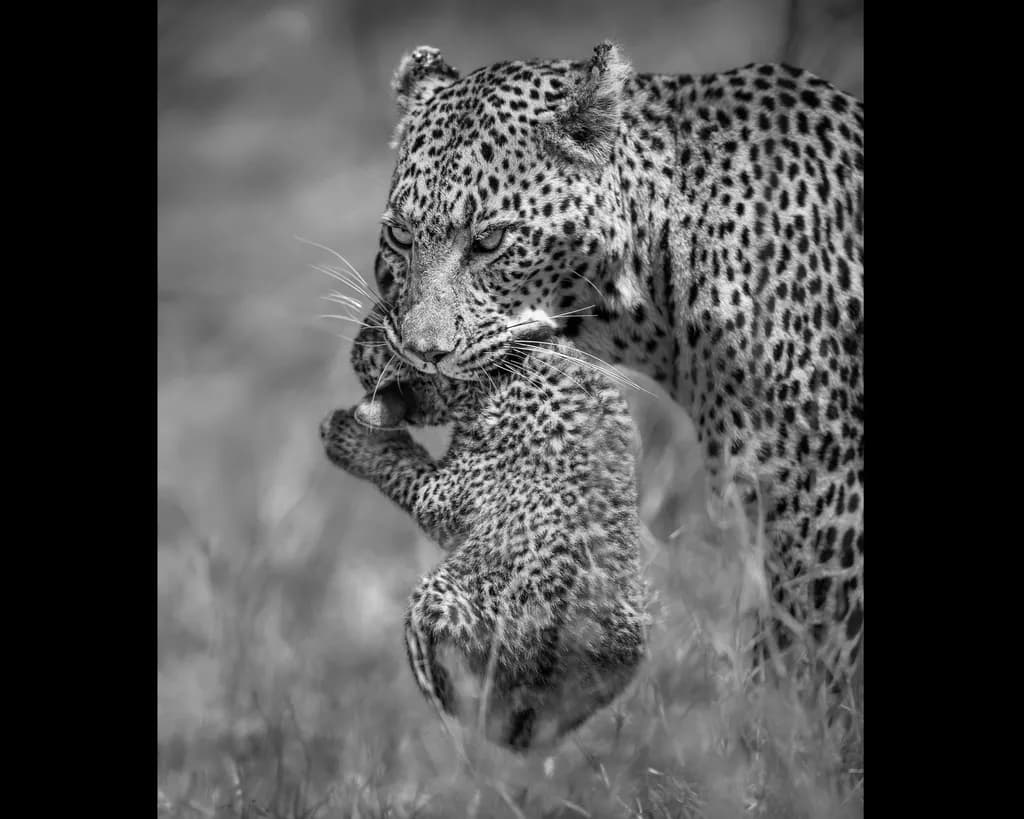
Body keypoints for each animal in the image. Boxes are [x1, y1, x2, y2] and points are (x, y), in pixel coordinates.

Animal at [320, 309, 649, 751]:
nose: (356, 353)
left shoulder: (453, 490)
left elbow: (403, 470)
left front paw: (350, 436)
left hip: (446, 597)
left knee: (478, 710)